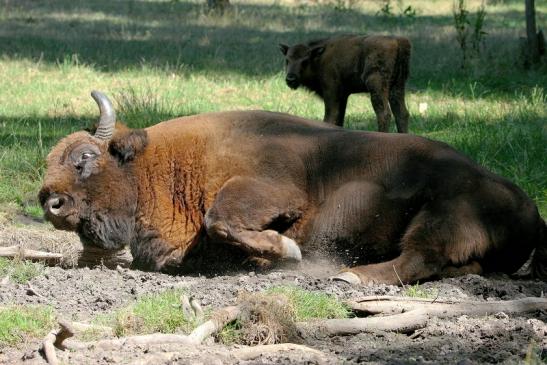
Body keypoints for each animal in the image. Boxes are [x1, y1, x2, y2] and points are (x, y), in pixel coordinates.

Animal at [39, 91, 547, 284]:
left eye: (85, 159)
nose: (50, 202)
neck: (157, 162)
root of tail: (531, 211)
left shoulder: (270, 190)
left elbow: (221, 219)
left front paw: (286, 252)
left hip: (441, 213)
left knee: (419, 257)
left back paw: (350, 275)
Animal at [278, 34, 412, 132]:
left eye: (305, 61)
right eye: (287, 60)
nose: (290, 78)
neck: (319, 59)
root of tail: (398, 42)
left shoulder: (331, 94)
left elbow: (330, 118)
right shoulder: (343, 97)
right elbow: (339, 120)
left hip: (377, 86)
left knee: (384, 114)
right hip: (397, 87)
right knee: (402, 114)